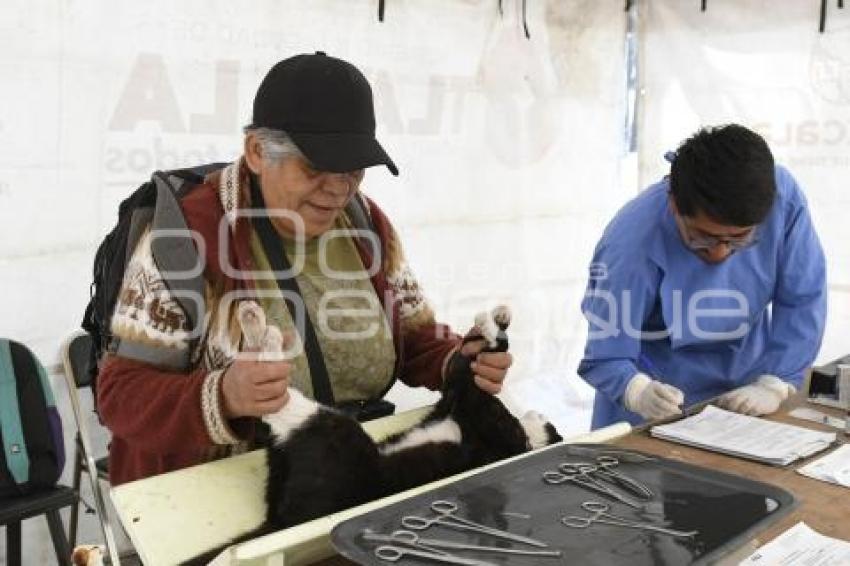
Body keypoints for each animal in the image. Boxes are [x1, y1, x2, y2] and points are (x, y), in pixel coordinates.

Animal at [190, 304, 564, 564]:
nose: (540, 413)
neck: (526, 439)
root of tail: (283, 520)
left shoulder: (490, 423)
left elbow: (476, 382)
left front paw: (494, 328)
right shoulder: (455, 402)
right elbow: (461, 368)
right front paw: (489, 326)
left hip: (332, 435)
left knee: (282, 403)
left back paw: (259, 332)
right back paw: (254, 331)